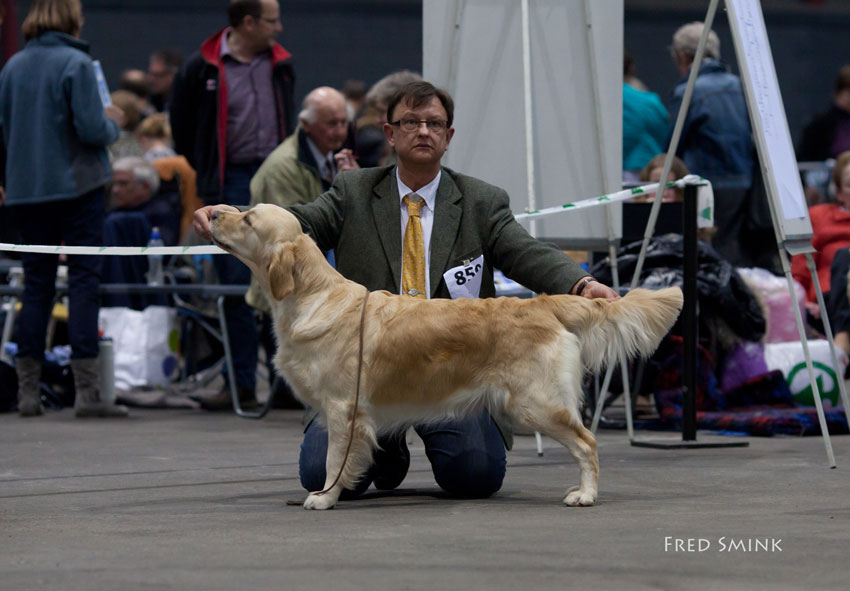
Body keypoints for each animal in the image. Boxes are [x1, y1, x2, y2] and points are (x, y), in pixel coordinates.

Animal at [210, 204, 684, 508]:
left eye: (248, 218)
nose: (212, 214)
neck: (309, 296)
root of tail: (543, 303)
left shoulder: (344, 407)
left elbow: (332, 460)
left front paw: (324, 498)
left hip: (536, 404)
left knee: (587, 443)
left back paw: (584, 495)